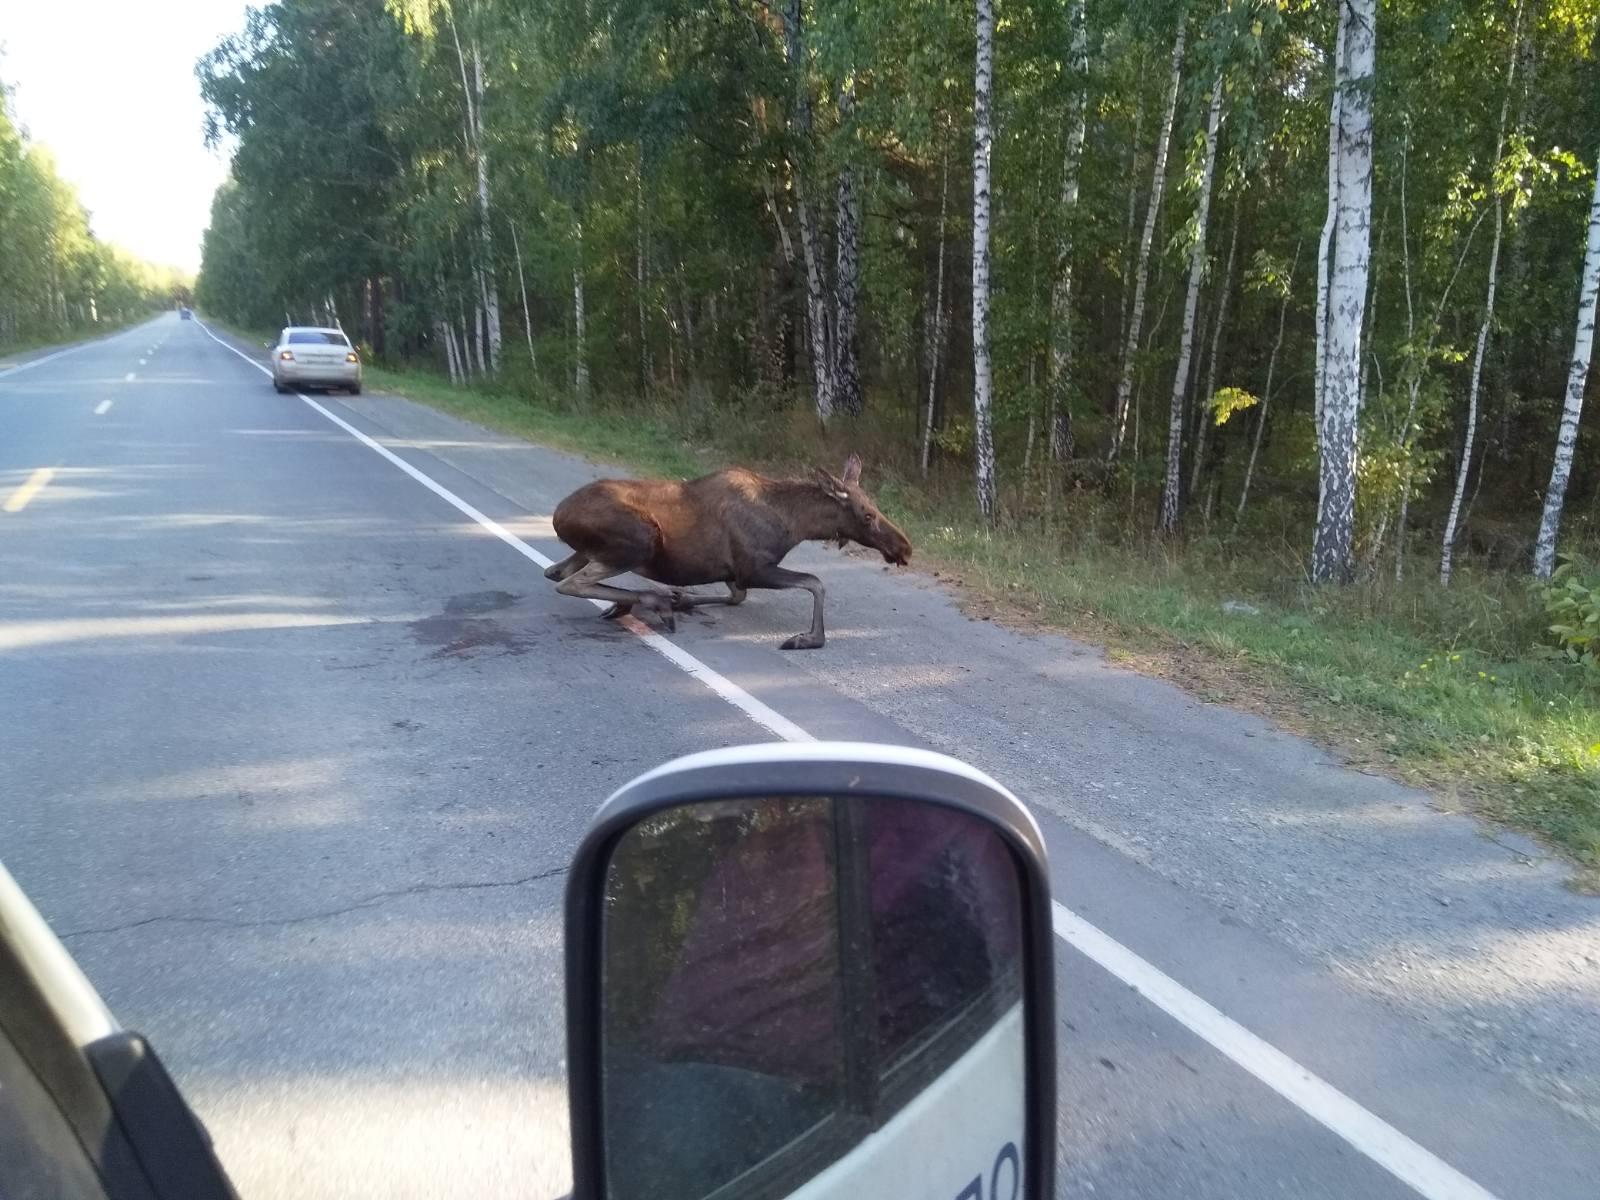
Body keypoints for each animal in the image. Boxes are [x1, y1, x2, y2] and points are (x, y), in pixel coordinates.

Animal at [544, 454, 908, 652]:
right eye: (867, 515)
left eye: (876, 506)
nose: (904, 547)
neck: (795, 524)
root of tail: (558, 514)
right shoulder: (753, 567)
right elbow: (815, 582)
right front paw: (806, 638)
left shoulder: (734, 572)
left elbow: (736, 597)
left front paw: (684, 598)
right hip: (640, 541)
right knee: (568, 582)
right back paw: (654, 602)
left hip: (593, 551)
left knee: (556, 571)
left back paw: (638, 602)